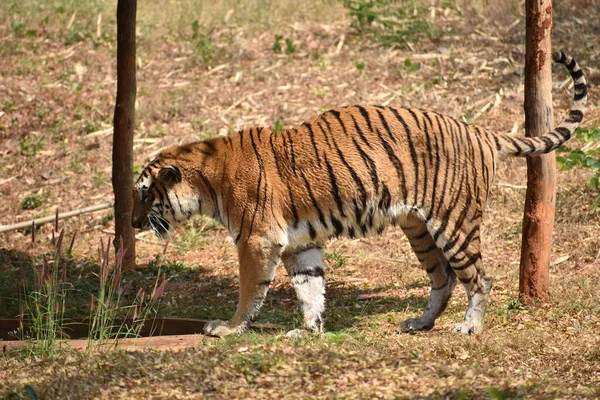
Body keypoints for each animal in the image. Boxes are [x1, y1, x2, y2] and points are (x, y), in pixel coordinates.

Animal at [130, 50, 584, 338]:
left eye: (145, 194)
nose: (133, 222)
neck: (206, 181)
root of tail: (477, 130)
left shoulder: (257, 240)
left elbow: (249, 290)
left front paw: (228, 328)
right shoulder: (299, 243)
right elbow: (310, 289)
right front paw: (310, 331)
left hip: (454, 223)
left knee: (480, 278)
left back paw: (470, 327)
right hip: (418, 228)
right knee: (445, 278)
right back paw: (420, 323)